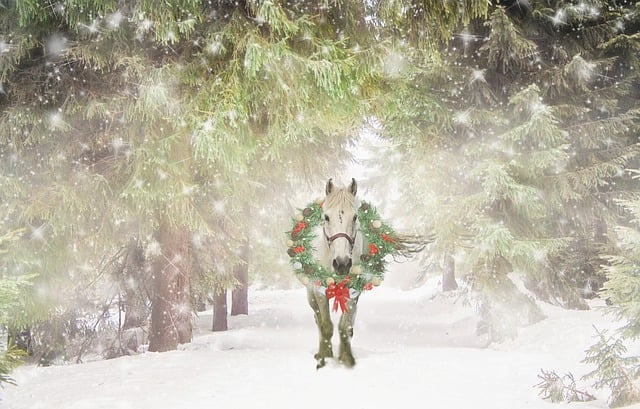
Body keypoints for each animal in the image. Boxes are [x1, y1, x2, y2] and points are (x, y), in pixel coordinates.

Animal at [306, 177, 362, 368]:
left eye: (355, 217)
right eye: (326, 217)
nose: (342, 263)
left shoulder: (353, 290)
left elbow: (345, 326)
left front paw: (347, 358)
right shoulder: (319, 291)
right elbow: (326, 325)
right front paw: (325, 357)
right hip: (310, 294)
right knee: (317, 319)